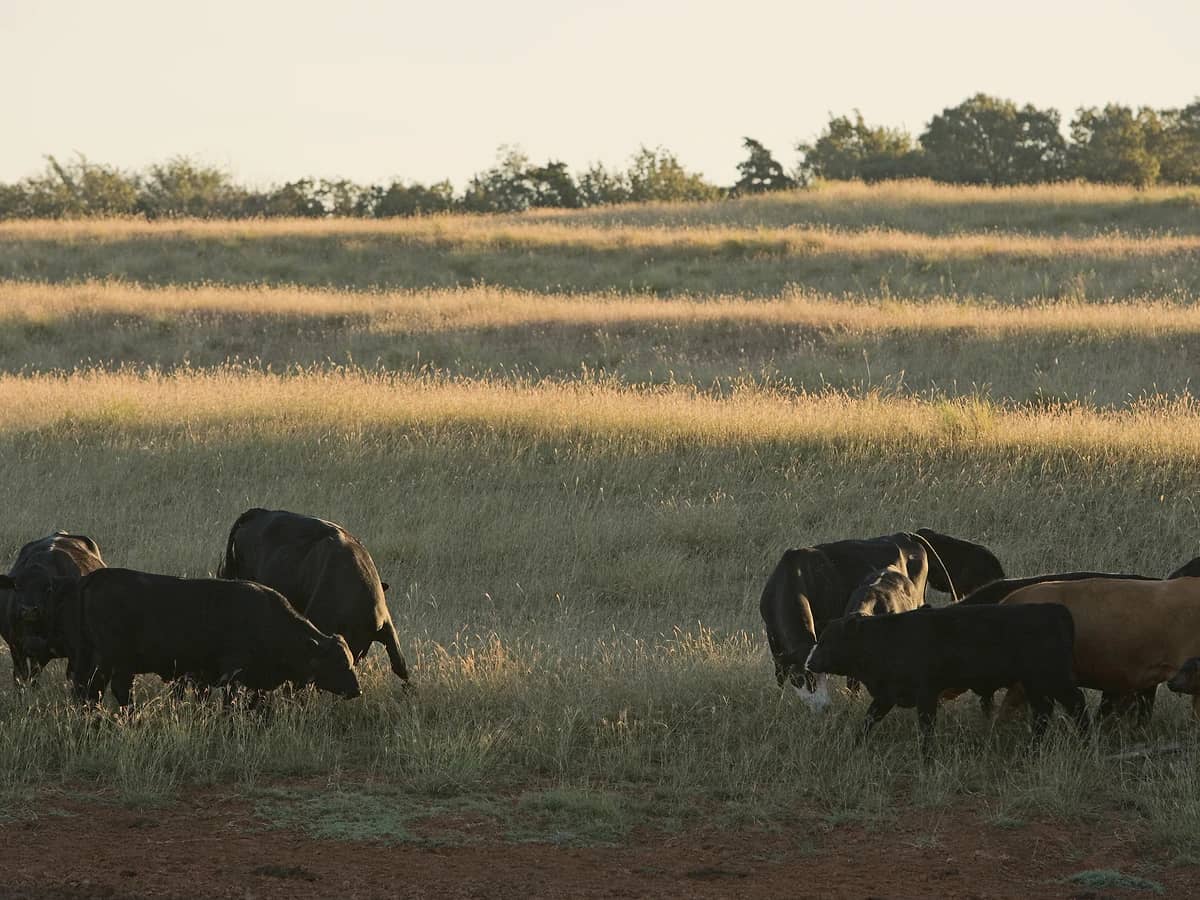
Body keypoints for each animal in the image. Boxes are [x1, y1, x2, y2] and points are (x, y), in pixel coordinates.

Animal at [20, 567, 360, 709]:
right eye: (336, 664)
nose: (356, 690)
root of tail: (92, 579)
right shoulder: (232, 674)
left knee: (89, 690)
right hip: (115, 660)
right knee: (111, 689)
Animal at [760, 529, 1000, 707]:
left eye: (821, 675)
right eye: (801, 678)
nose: (824, 707)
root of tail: (908, 535)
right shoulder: (774, 640)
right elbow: (779, 675)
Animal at [804, 603, 1086, 758]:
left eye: (828, 641)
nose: (809, 663)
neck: (885, 640)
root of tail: (1055, 610)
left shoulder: (926, 695)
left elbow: (926, 728)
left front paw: (927, 757)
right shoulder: (886, 696)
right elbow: (868, 721)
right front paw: (855, 744)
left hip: (1052, 679)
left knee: (1075, 703)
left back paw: (1084, 739)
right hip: (1037, 684)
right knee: (1044, 712)